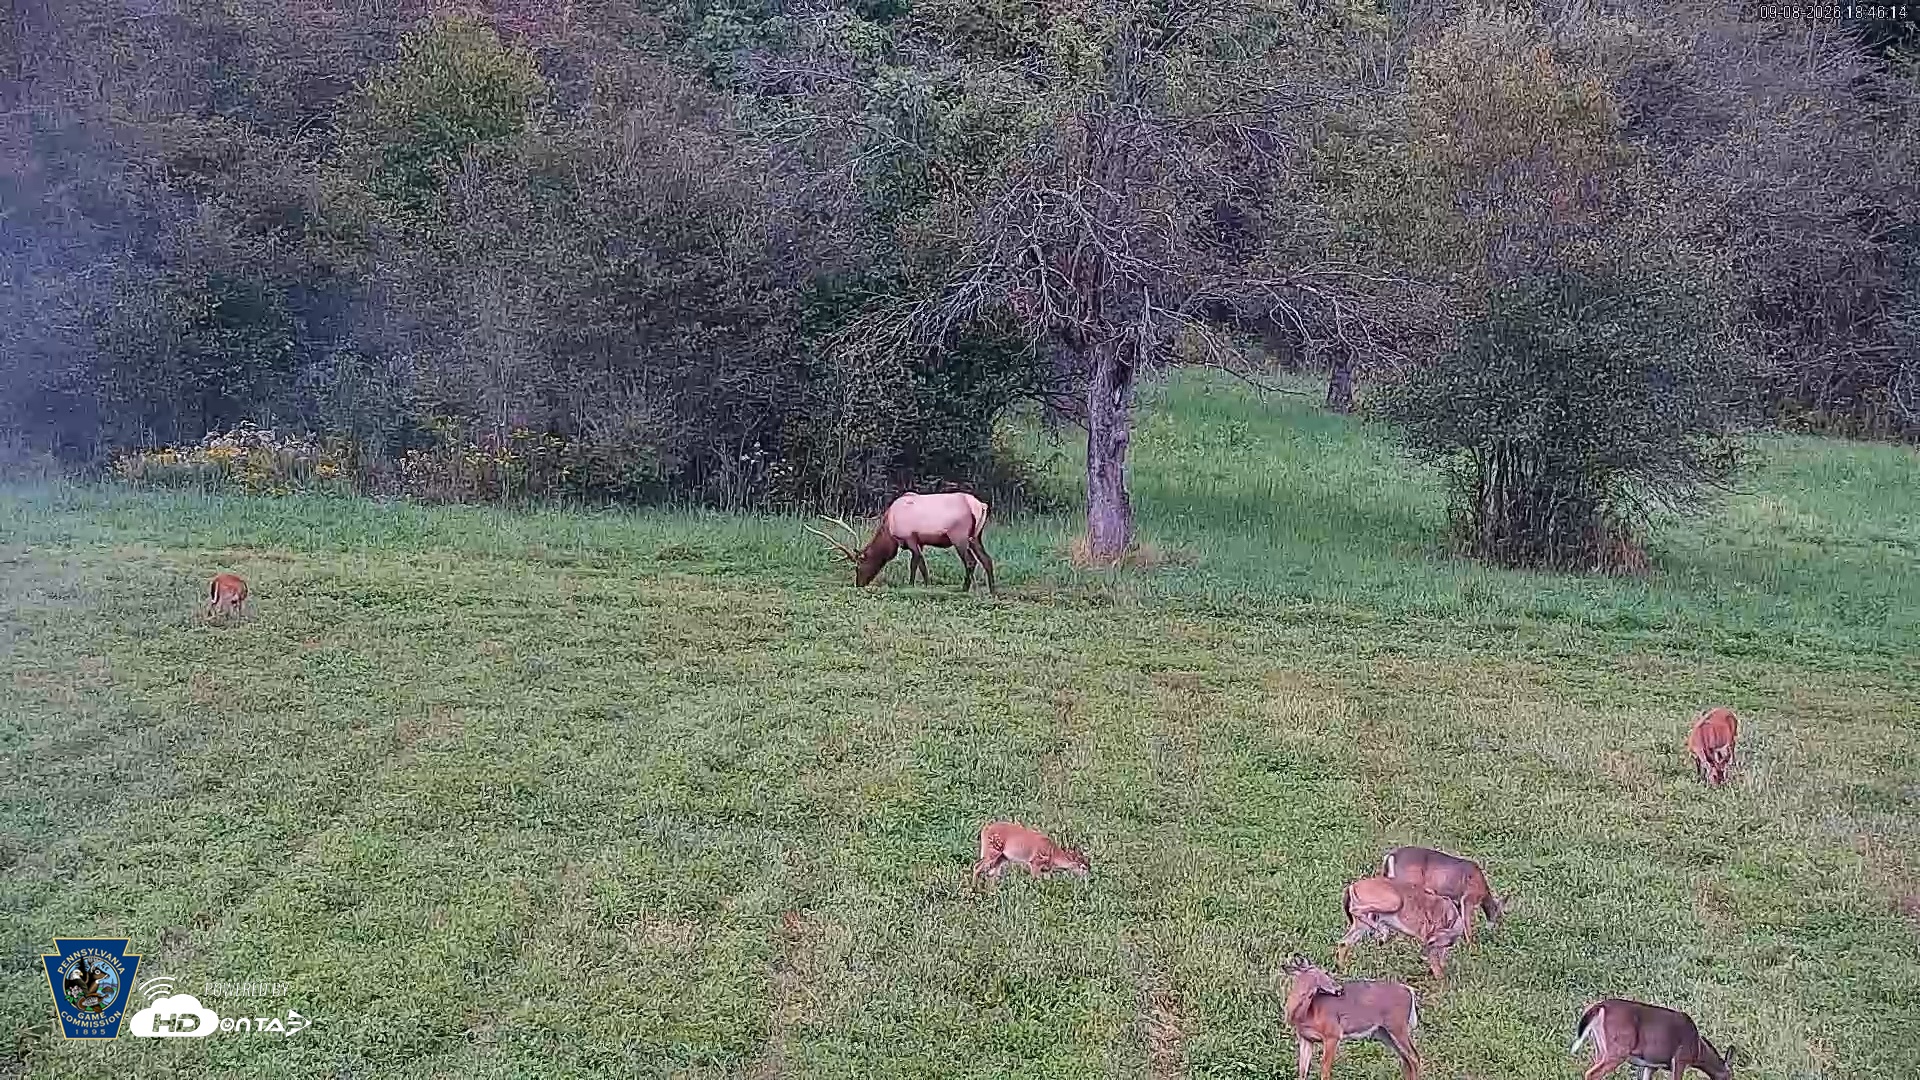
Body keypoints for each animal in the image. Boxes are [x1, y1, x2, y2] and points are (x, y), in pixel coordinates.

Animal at [804, 491, 996, 594]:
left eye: (858, 566)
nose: (858, 584)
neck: (889, 528)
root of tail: (980, 506)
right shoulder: (919, 540)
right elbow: (919, 564)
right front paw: (920, 585)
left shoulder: (909, 537)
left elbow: (917, 563)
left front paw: (919, 585)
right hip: (976, 537)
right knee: (987, 559)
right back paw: (992, 590)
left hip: (959, 536)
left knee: (970, 561)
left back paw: (965, 588)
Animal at [1281, 955, 1421, 1080]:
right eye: (1324, 973)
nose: (1340, 989)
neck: (1306, 1013)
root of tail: (1409, 990)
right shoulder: (1305, 1038)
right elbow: (1302, 1071)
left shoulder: (1333, 1034)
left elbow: (1325, 1071)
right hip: (1383, 1032)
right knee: (1406, 1059)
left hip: (1397, 1025)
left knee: (1414, 1057)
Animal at [1336, 876, 1467, 980]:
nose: (1426, 945)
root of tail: (1352, 886)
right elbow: (1438, 968)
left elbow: (1441, 961)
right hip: (1395, 901)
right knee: (1356, 911)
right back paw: (1382, 932)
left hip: (1361, 925)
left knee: (1344, 942)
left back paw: (1342, 970)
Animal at [1572, 998, 1735, 1080]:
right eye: (1730, 1077)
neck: (1698, 1049)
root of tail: (1600, 1006)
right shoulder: (1680, 1059)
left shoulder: (1651, 1065)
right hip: (1617, 1050)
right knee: (1591, 1074)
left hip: (1600, 1047)